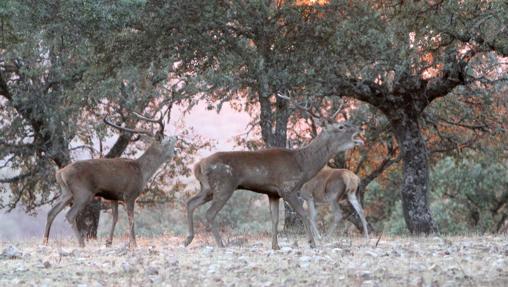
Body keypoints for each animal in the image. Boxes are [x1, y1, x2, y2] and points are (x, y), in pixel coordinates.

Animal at [44, 113, 179, 249]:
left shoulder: (114, 196)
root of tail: (60, 173)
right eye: (169, 140)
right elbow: (131, 219)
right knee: (70, 215)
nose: (176, 149)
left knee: (51, 212)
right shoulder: (130, 194)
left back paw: (45, 241)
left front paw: (109, 242)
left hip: (66, 192)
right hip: (83, 192)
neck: (142, 171)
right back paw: (81, 243)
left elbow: (115, 218)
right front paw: (134, 244)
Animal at [185, 115, 364, 250]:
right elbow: (304, 214)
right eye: (341, 126)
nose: (359, 128)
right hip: (224, 185)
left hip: (208, 188)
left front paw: (275, 246)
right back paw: (220, 244)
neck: (303, 165)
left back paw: (188, 239)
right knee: (209, 213)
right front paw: (312, 243)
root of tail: (198, 165)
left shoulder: (273, 193)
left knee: (190, 202)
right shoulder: (288, 188)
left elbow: (275, 219)